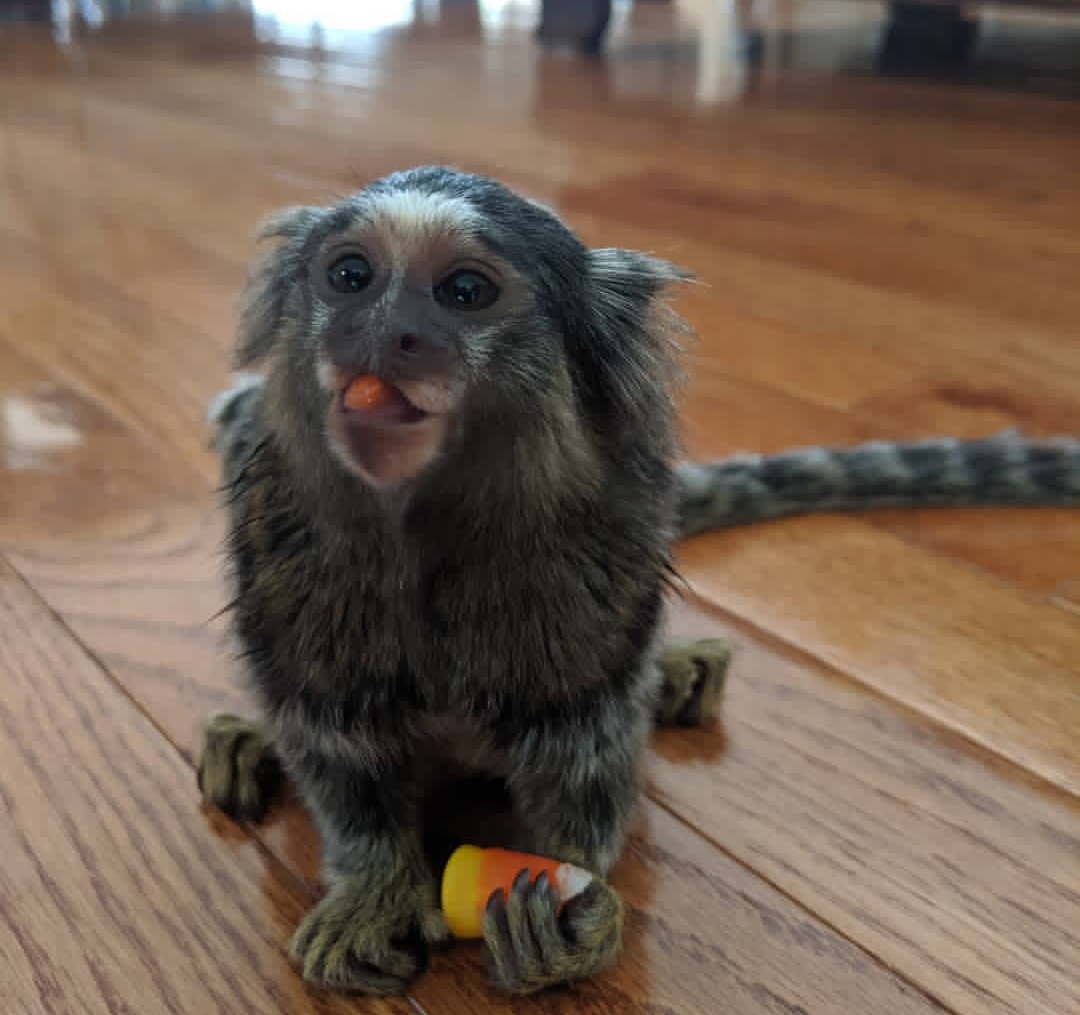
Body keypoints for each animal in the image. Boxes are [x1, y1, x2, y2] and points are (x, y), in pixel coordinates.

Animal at [195, 166, 1080, 998]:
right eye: (350, 277)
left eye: (464, 292)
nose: (386, 334)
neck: (425, 533)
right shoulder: (290, 569)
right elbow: (339, 748)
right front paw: (375, 887)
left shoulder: (596, 581)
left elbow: (583, 747)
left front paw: (564, 901)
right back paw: (247, 738)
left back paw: (679, 669)